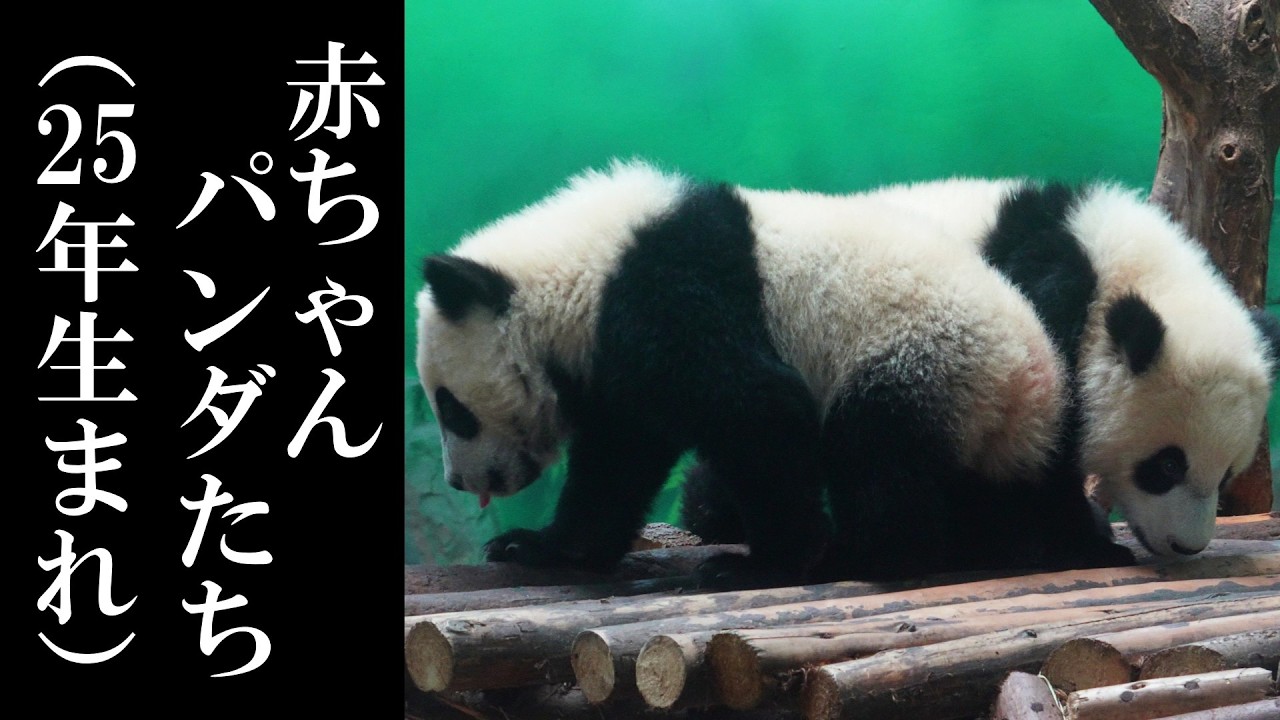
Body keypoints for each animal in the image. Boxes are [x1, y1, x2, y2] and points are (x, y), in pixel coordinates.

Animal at [415, 160, 1130, 588]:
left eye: (452, 408)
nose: (458, 480)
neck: (583, 269)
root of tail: (1034, 382)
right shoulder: (619, 367)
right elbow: (617, 462)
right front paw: (537, 548)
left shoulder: (666, 296)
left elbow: (760, 407)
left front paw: (765, 563)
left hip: (928, 358)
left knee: (874, 448)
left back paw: (861, 553)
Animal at [858, 177, 1280, 558]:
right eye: (1168, 465)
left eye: (1227, 474)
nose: (1187, 546)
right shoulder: (1044, 308)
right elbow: (1040, 456)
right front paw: (1082, 539)